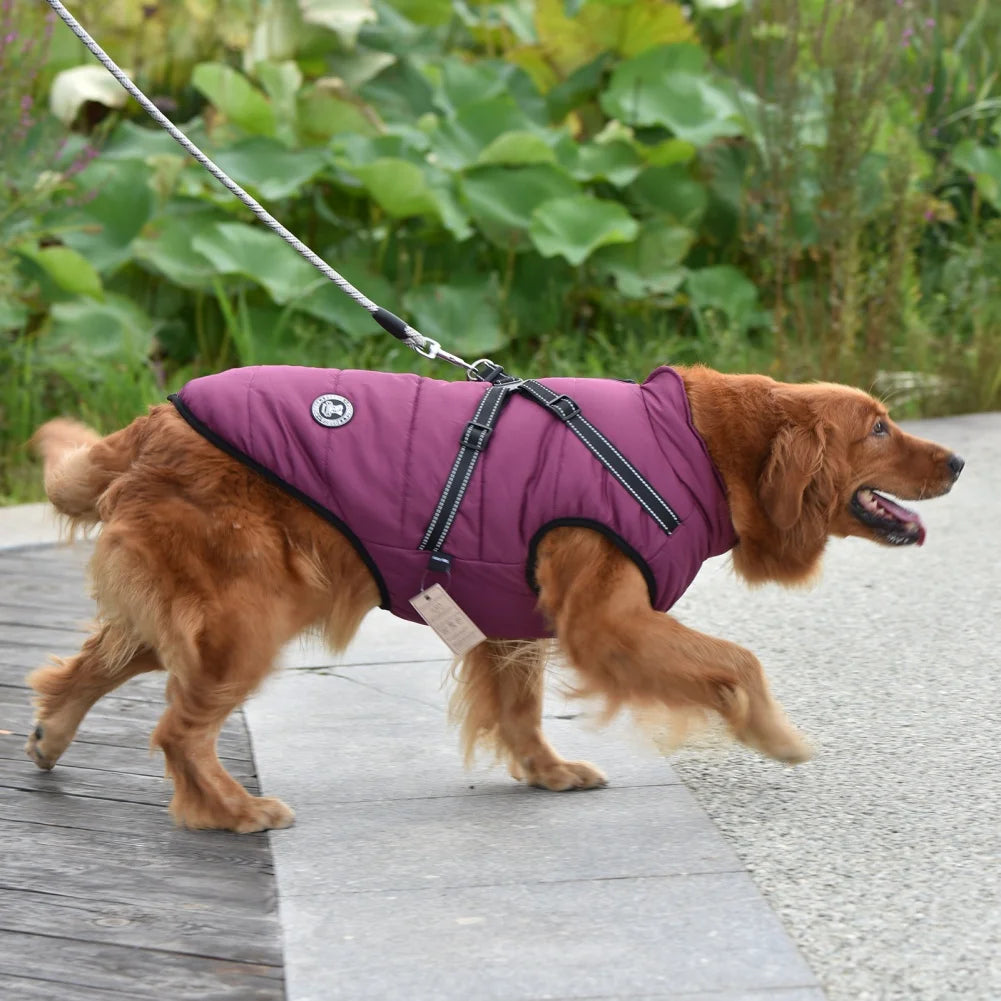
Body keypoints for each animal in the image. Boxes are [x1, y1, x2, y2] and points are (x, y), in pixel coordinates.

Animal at [23, 364, 960, 832]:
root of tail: (151, 421)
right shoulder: (609, 620)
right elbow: (739, 660)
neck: (694, 438)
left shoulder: (516, 617)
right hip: (249, 614)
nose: (955, 460)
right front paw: (772, 733)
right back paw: (228, 809)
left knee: (81, 671)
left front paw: (545, 771)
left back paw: (50, 737)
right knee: (176, 729)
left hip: (193, 615)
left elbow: (518, 708)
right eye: (878, 426)